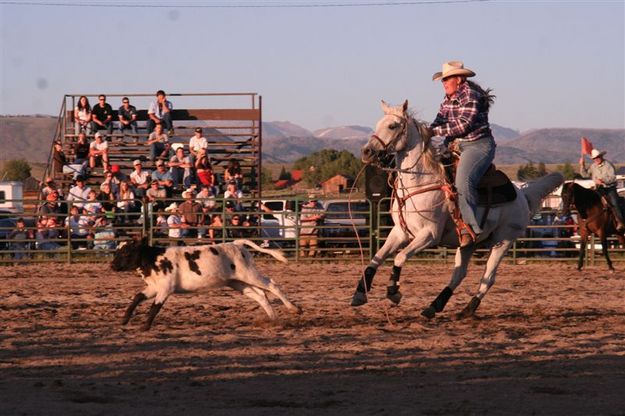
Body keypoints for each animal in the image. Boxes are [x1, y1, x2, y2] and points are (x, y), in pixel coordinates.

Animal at [112, 239, 302, 330]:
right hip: (237, 282)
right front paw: (124, 319)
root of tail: (237, 244)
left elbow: (155, 307)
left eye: (126, 252)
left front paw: (145, 326)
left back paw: (294, 309)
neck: (154, 259)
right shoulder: (154, 287)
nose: (112, 266)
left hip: (249, 274)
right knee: (260, 295)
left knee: (271, 285)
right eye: (117, 251)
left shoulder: (165, 289)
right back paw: (273, 319)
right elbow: (137, 297)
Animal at [352, 101, 564, 318]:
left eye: (392, 126)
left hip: (503, 241)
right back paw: (434, 306)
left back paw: (468, 309)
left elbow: (400, 257)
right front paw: (359, 294)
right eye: (378, 124)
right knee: (459, 275)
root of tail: (522, 193)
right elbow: (376, 258)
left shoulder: (429, 235)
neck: (420, 184)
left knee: (488, 277)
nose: (366, 152)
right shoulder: (400, 232)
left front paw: (393, 291)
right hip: (469, 244)